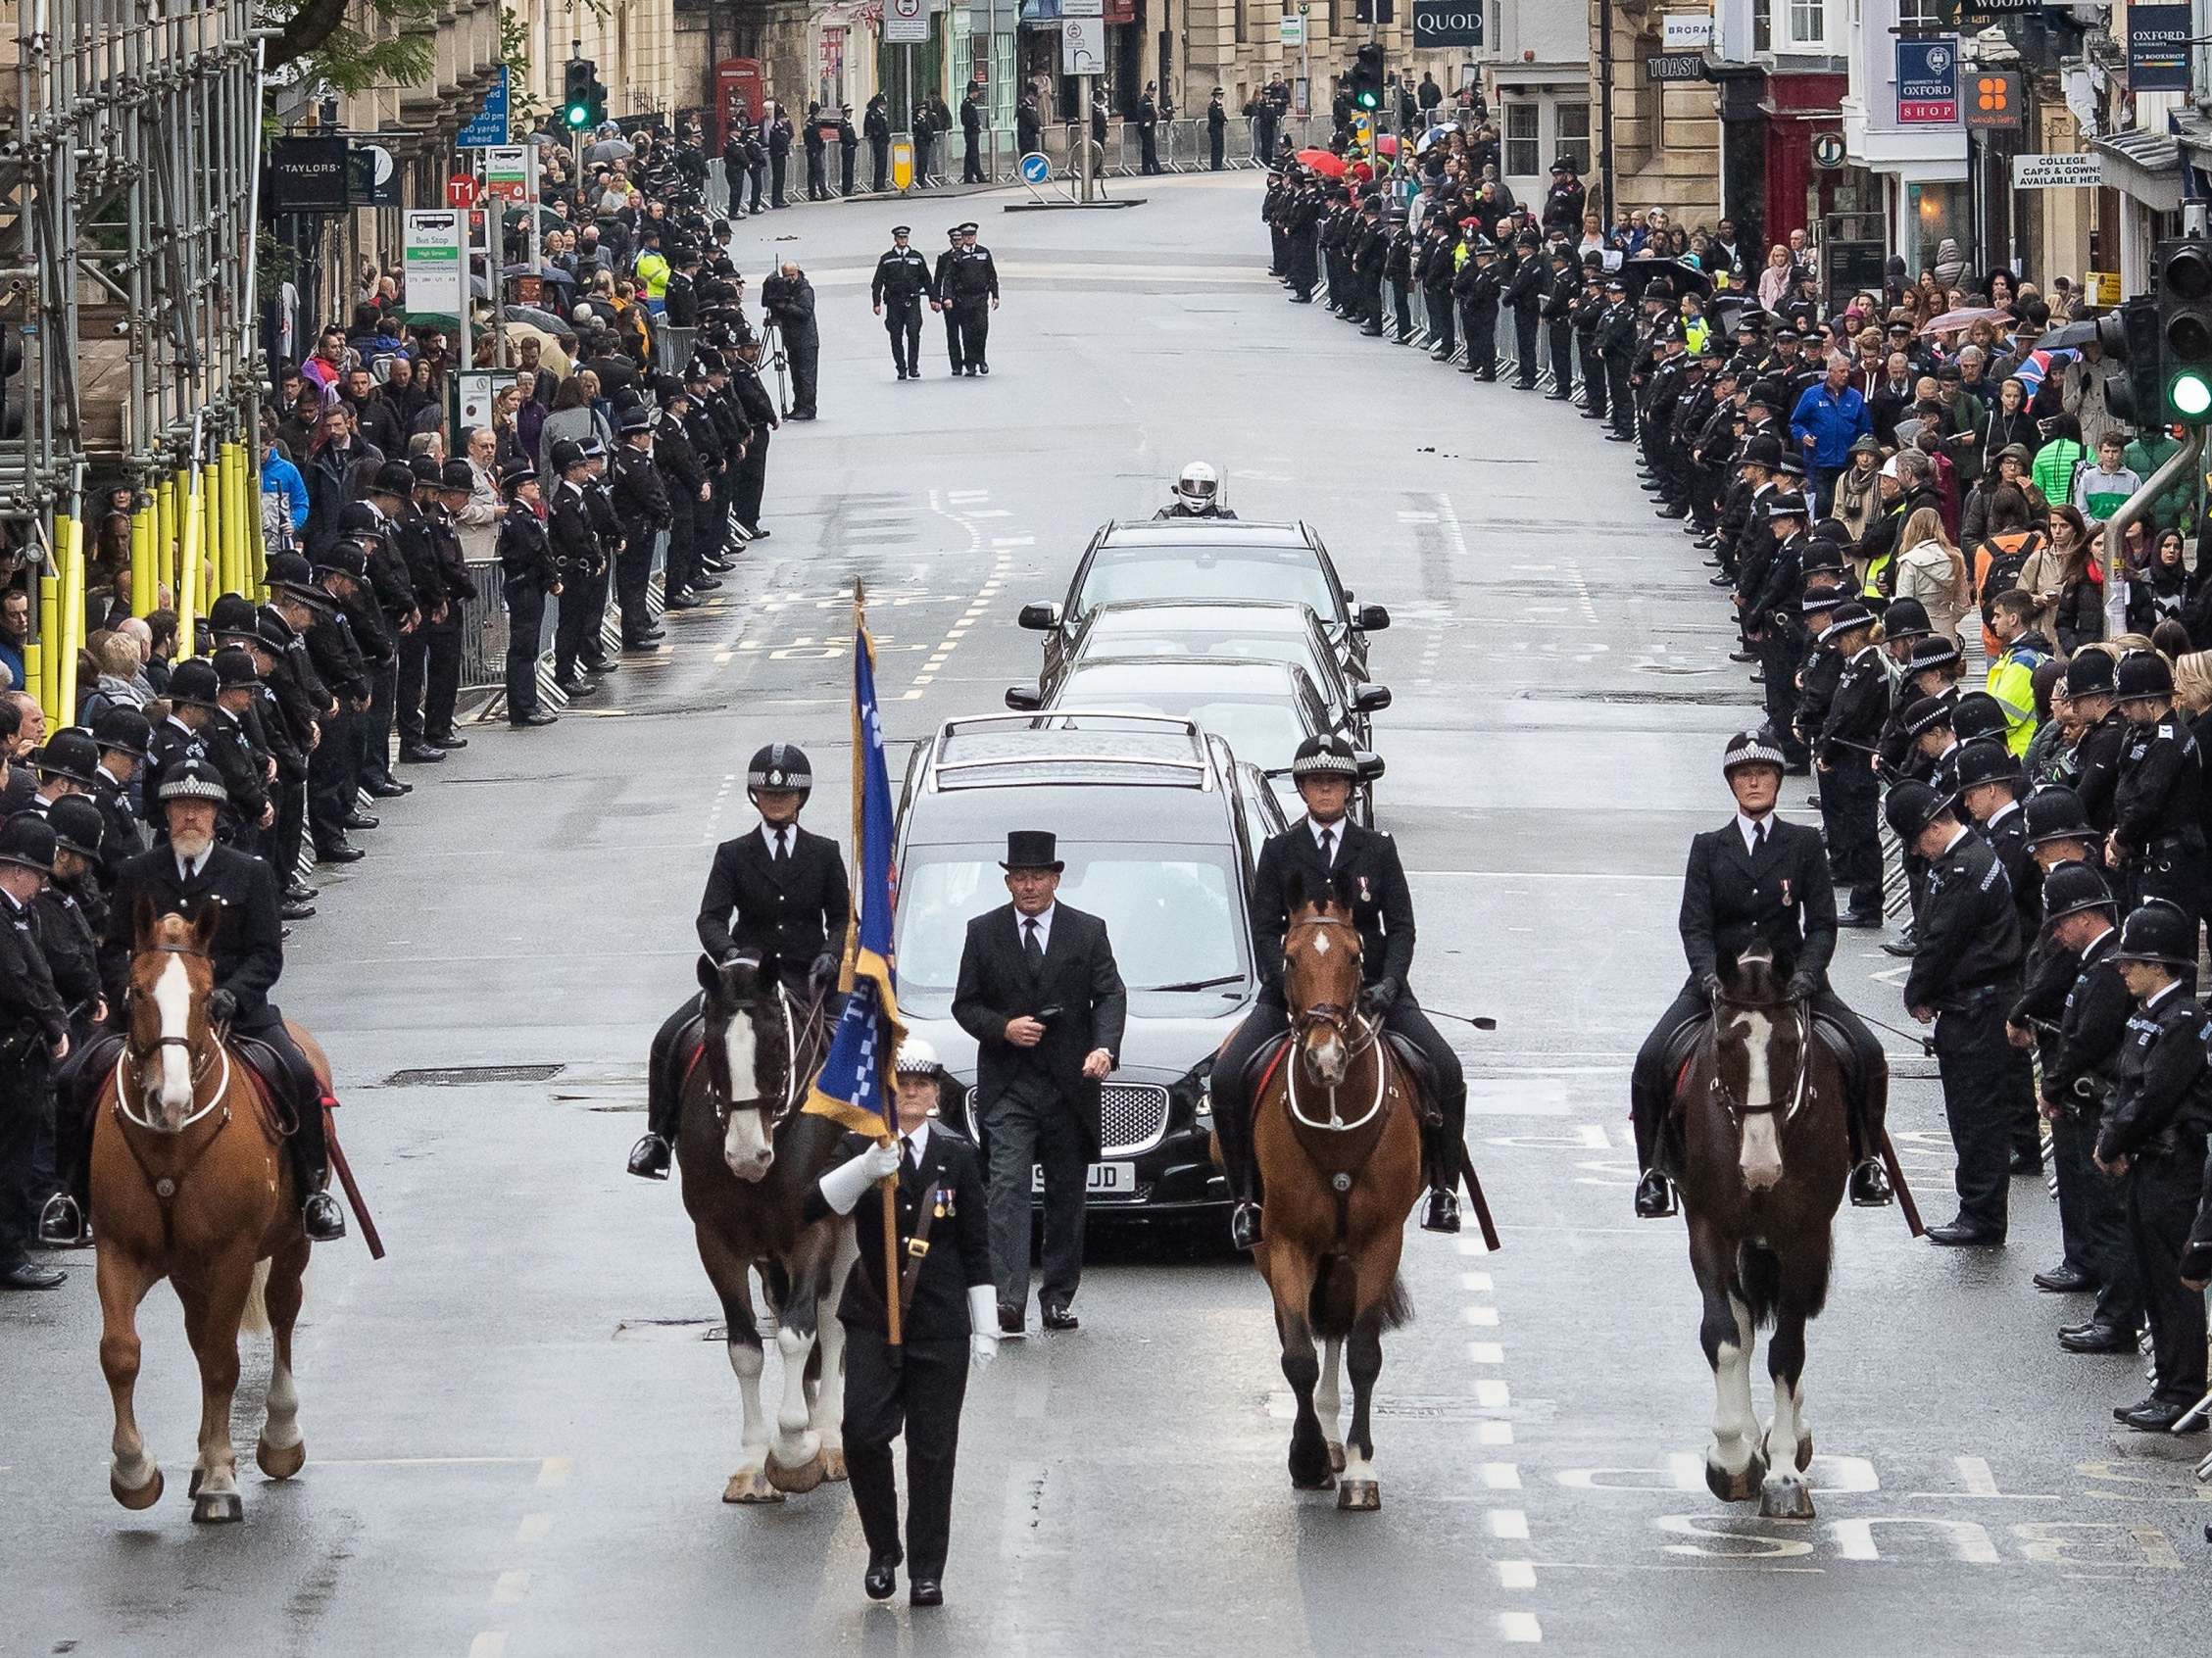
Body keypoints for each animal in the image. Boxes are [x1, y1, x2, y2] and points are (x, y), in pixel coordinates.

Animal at [92, 910, 327, 1530]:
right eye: (137, 990)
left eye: (204, 994)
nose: (168, 1099)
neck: (172, 1143)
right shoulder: (119, 1249)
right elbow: (121, 1352)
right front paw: (135, 1473)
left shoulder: (232, 1255)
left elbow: (224, 1362)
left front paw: (222, 1480)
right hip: (189, 1270)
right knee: (200, 1338)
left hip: (289, 1245)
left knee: (281, 1314)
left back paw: (279, 1438)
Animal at [672, 946, 845, 1503]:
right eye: (711, 1044)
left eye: (774, 1043)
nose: (747, 1156)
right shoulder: (716, 1242)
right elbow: (746, 1347)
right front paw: (752, 1464)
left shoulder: (814, 1232)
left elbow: (798, 1333)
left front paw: (796, 1450)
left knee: (831, 1322)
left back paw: (829, 1436)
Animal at [1255, 875, 1424, 1512]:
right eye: (1289, 958)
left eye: (1355, 957)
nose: (1324, 1059)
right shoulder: (1284, 1241)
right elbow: (1298, 1356)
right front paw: (1307, 1458)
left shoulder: (1380, 1241)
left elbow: (1364, 1353)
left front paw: (1359, 1469)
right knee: (1311, 1326)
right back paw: (1322, 1442)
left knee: (1337, 1324)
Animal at [1672, 942, 1848, 1530]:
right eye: (1726, 1044)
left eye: (1791, 1044)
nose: (1761, 1167)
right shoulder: (1709, 1228)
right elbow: (1726, 1337)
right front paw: (1730, 1458)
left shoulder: (1805, 1238)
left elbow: (1787, 1353)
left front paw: (1784, 1473)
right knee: (1747, 1325)